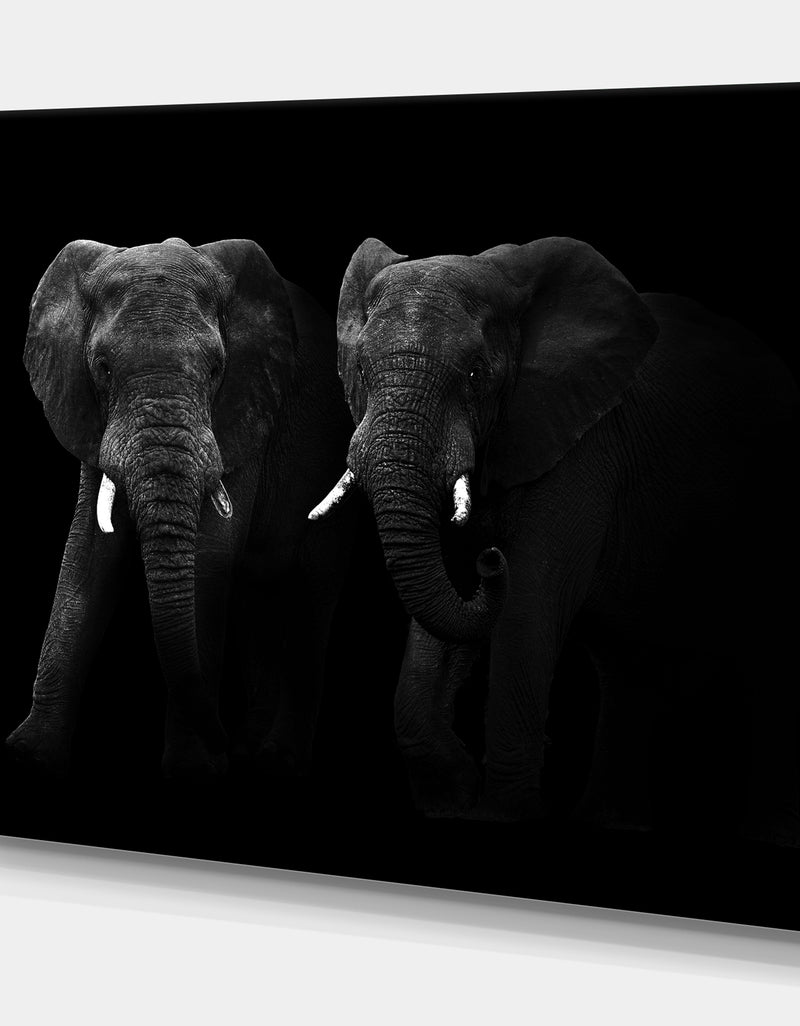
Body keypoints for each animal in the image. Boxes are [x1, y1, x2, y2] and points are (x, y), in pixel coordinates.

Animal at [8, 236, 355, 780]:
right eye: (103, 367)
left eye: (215, 369)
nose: (220, 736)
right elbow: (87, 557)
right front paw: (29, 757)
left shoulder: (247, 408)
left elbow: (210, 555)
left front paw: (194, 768)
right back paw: (249, 750)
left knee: (312, 591)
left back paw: (276, 759)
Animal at [311, 235, 799, 839]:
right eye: (359, 369)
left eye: (475, 375)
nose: (490, 559)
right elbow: (445, 610)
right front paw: (454, 797)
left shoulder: (583, 448)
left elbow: (527, 605)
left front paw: (501, 816)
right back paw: (610, 824)